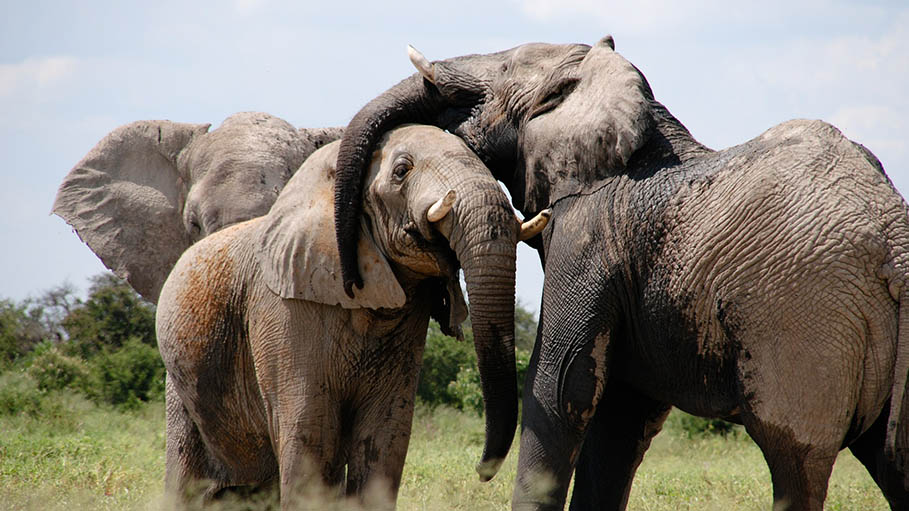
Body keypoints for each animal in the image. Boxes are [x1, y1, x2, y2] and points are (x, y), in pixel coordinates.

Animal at [155, 124, 548, 508]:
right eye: (402, 171)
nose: (481, 471)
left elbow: (385, 435)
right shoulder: (282, 310)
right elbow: (310, 433)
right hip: (180, 383)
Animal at [331, 37, 909, 510]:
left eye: (503, 69)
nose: (352, 281)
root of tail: (893, 235)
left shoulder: (587, 234)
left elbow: (560, 388)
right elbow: (619, 421)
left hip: (801, 321)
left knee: (795, 463)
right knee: (893, 460)